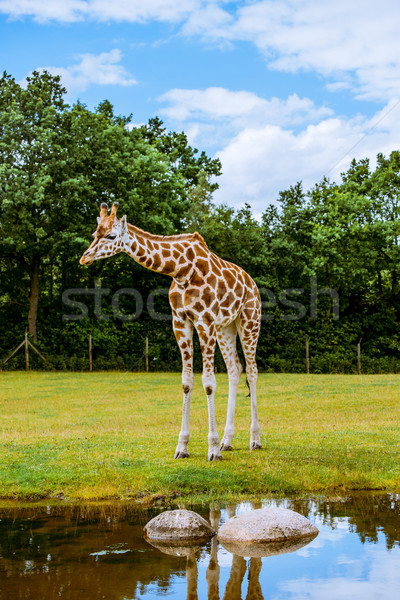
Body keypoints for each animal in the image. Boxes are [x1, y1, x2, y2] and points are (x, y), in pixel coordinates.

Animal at [81, 202, 262, 460]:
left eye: (111, 236)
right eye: (94, 234)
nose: (84, 258)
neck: (181, 269)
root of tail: (252, 283)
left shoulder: (204, 320)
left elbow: (208, 382)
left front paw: (212, 450)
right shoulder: (180, 322)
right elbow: (187, 381)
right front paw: (183, 447)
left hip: (249, 320)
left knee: (252, 372)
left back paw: (254, 440)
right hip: (226, 327)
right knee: (235, 370)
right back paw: (227, 441)